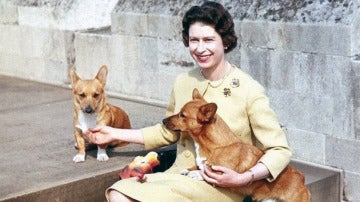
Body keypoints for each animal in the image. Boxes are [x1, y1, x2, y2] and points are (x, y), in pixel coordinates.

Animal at [162, 88, 310, 202]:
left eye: (182, 115)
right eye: (179, 112)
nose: (163, 120)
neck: (214, 146)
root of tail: (302, 180)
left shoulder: (221, 173)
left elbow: (207, 172)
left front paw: (197, 174)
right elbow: (199, 166)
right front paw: (189, 169)